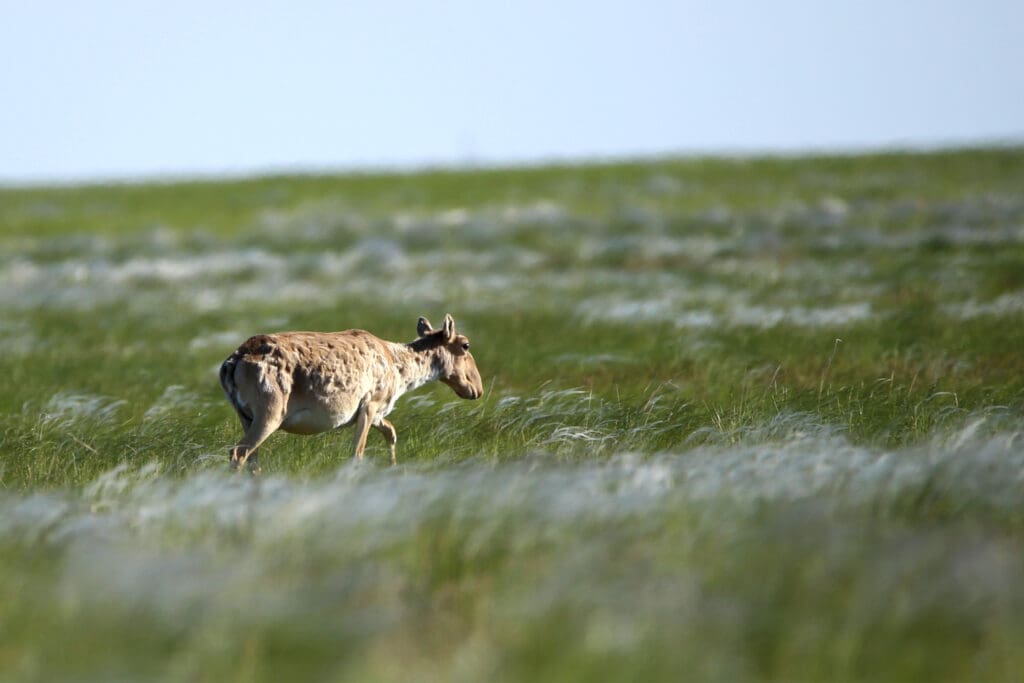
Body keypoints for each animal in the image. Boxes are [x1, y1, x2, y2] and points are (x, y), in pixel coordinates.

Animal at [218, 313, 481, 471]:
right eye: (465, 345)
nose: (477, 389)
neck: (396, 365)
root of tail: (233, 361)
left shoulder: (377, 414)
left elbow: (391, 432)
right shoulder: (369, 406)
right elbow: (358, 453)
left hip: (246, 417)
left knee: (252, 459)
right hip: (270, 414)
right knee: (238, 452)